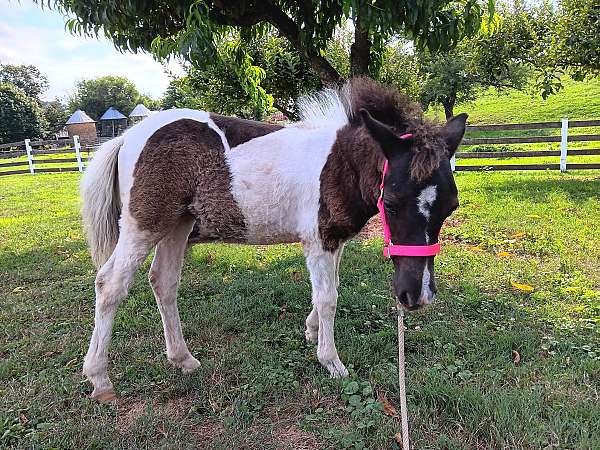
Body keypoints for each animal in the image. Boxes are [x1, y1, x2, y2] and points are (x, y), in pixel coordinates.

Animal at [79, 77, 466, 400]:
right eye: (392, 201)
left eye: (451, 207)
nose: (416, 296)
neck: (340, 162)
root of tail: (126, 137)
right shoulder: (319, 239)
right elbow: (328, 297)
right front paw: (332, 363)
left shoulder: (333, 240)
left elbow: (329, 288)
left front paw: (311, 330)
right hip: (144, 224)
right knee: (110, 284)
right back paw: (100, 379)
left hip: (178, 225)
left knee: (163, 281)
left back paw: (183, 358)